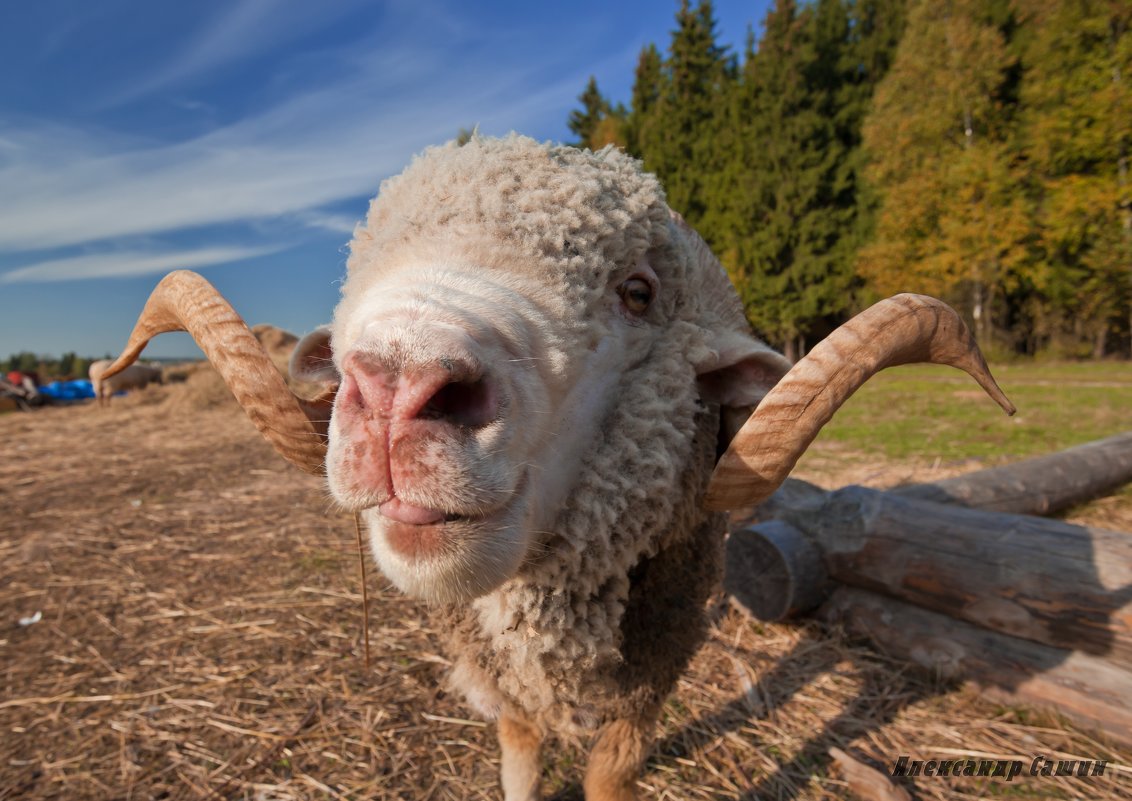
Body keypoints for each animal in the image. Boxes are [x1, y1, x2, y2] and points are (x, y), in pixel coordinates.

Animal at [101, 134, 1014, 796]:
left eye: (639, 292)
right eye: (353, 280)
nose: (395, 389)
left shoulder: (656, 660)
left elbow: (613, 771)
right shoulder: (497, 672)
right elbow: (518, 751)